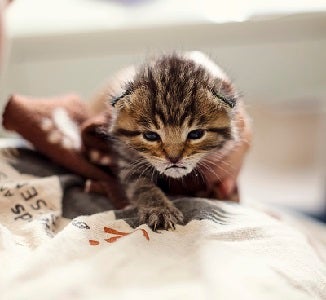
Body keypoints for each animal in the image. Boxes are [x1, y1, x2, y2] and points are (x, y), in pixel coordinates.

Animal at [109, 52, 239, 230]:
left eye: (196, 134)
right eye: (151, 136)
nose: (174, 158)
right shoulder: (129, 163)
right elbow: (141, 187)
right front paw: (159, 210)